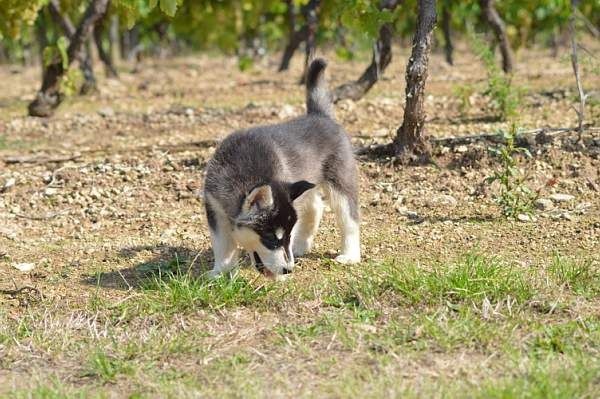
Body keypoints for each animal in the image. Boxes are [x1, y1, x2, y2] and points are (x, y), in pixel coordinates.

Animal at [204, 59, 358, 278]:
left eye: (287, 236)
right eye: (271, 239)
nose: (288, 270)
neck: (242, 171)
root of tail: (320, 115)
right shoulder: (214, 209)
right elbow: (223, 245)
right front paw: (220, 272)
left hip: (340, 181)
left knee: (349, 218)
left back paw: (350, 255)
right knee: (315, 206)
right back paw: (302, 245)